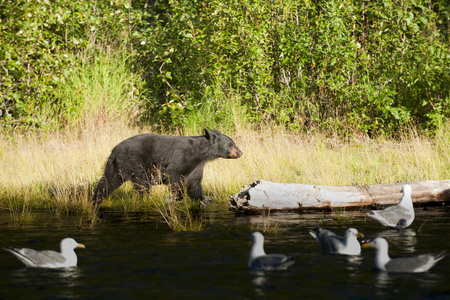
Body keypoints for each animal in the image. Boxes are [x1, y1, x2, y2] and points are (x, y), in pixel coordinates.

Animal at [91, 127, 243, 207]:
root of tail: (114, 150)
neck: (200, 153)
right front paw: (178, 198)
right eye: (231, 144)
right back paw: (145, 199)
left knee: (107, 182)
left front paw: (200, 200)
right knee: (142, 184)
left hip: (115, 167)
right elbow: (175, 176)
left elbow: (194, 183)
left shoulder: (197, 165)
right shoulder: (182, 158)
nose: (240, 152)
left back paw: (96, 198)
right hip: (136, 164)